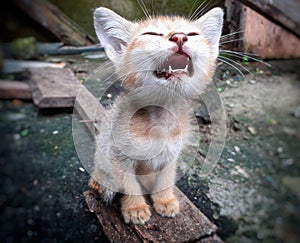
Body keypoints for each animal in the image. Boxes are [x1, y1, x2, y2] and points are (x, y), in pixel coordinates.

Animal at [89, 6, 223, 225]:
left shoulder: (171, 154)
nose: (179, 37)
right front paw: (135, 208)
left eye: (193, 34)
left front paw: (165, 200)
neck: (162, 122)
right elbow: (129, 183)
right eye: (151, 34)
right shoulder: (119, 156)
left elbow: (166, 179)